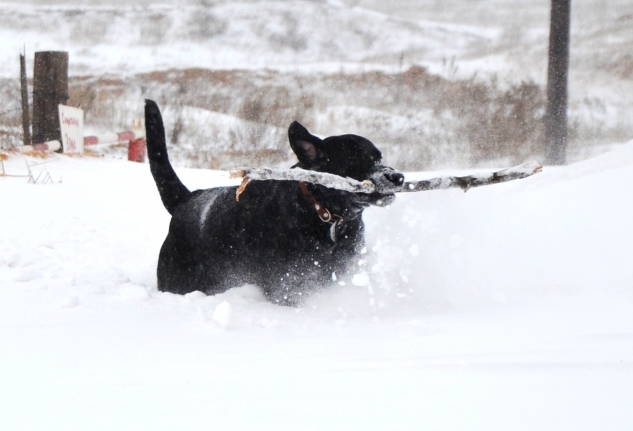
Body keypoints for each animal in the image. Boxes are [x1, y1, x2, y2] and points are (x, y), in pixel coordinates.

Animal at [145, 99, 402, 306]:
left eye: (379, 158)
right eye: (355, 160)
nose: (398, 177)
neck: (322, 214)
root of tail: (187, 199)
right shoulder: (286, 285)